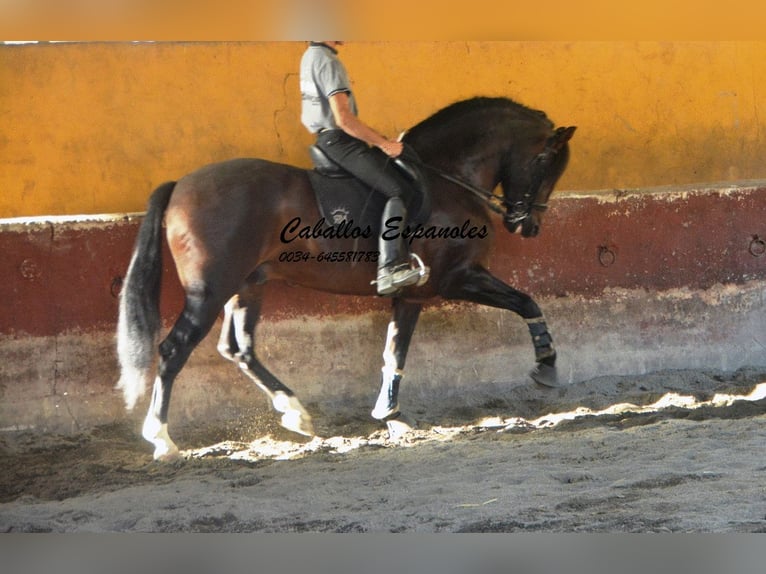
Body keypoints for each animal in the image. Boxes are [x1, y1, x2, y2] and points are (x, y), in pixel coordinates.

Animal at [115, 95, 576, 464]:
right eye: (545, 163)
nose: (528, 225)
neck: (448, 179)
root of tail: (181, 185)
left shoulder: (412, 295)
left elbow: (393, 354)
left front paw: (391, 418)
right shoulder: (454, 279)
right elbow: (526, 302)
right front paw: (546, 366)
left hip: (247, 285)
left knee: (238, 349)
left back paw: (295, 414)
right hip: (209, 290)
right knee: (174, 350)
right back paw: (162, 441)